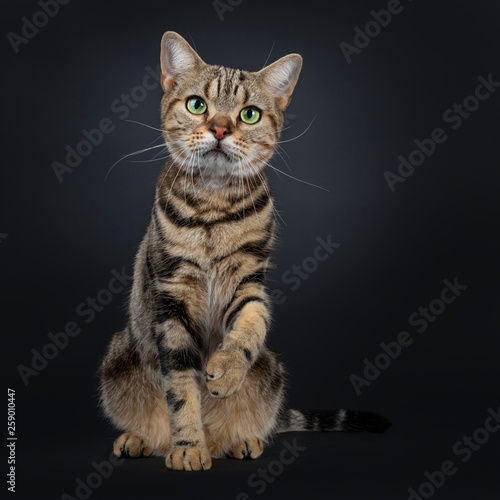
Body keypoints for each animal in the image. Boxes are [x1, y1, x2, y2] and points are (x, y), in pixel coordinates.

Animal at [98, 32, 390, 472]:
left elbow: (251, 327)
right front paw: (188, 446)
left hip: (271, 368)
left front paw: (226, 370)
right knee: (155, 426)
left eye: (249, 114)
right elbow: (181, 389)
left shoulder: (249, 282)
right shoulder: (171, 295)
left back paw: (240, 441)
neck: (213, 206)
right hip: (117, 357)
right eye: (197, 104)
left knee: (238, 425)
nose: (220, 128)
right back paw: (143, 439)